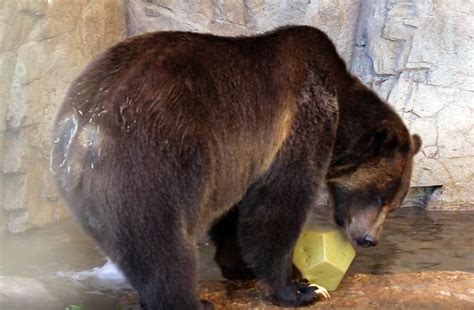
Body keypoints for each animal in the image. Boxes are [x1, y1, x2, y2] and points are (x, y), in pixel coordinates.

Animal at [51, 25, 422, 308]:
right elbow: (278, 206)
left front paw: (240, 264)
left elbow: (238, 212)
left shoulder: (243, 160)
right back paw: (192, 301)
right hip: (151, 160)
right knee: (162, 245)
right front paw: (302, 288)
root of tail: (83, 126)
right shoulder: (302, 121)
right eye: (380, 195)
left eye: (394, 202)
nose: (370, 239)